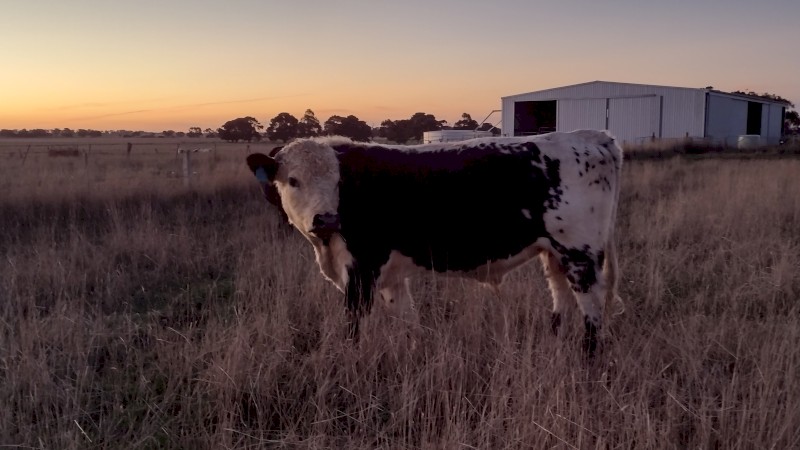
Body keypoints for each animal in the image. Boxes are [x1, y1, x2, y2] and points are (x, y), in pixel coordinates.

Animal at [246, 130, 623, 355]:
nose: (325, 219)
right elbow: (408, 322)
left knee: (591, 311)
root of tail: (587, 135)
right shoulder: (390, 277)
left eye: (339, 181)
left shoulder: (362, 271)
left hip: (580, 254)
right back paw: (554, 340)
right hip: (554, 253)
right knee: (561, 295)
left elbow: (353, 328)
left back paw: (588, 357)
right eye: (293, 180)